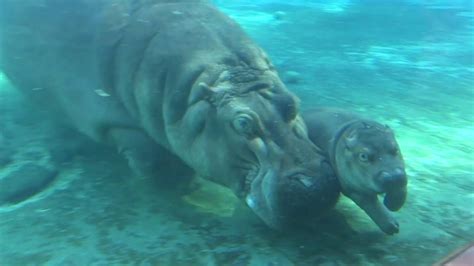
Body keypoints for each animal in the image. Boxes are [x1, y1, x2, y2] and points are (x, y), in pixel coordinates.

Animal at [0, 0, 340, 229]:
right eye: (242, 123)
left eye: (292, 103)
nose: (317, 186)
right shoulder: (102, 115)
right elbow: (146, 154)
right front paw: (174, 179)